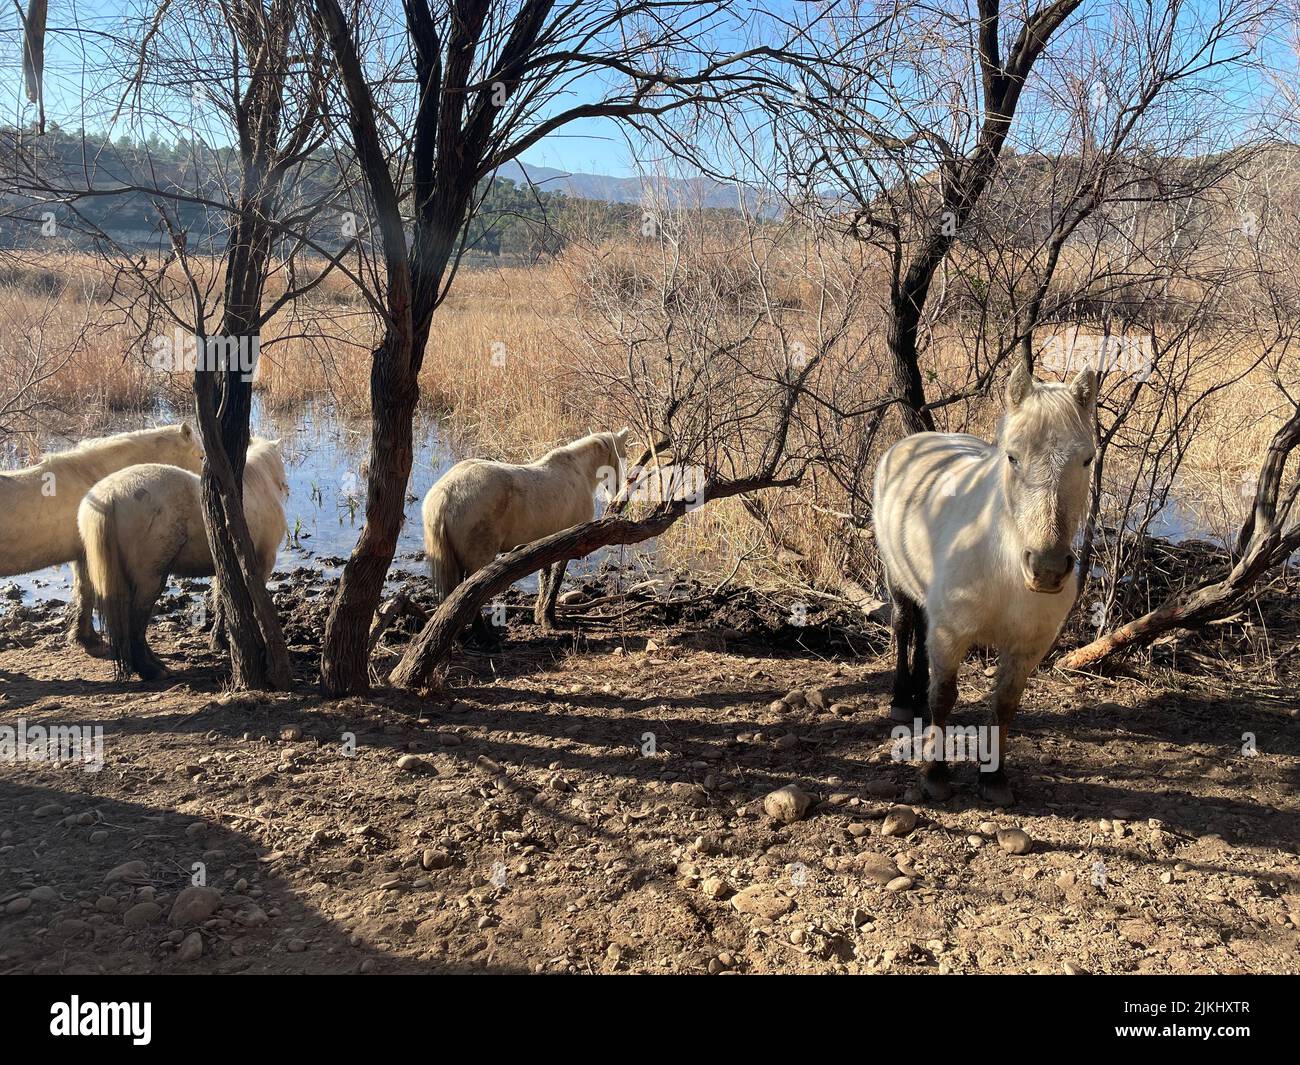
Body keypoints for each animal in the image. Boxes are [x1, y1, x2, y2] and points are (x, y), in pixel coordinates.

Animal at [79, 436, 288, 681]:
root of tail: (109, 495)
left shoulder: (223, 565)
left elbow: (222, 600)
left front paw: (218, 641)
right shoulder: (262, 563)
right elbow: (255, 605)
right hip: (150, 579)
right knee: (136, 621)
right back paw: (151, 670)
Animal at [423, 429, 631, 637]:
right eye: (623, 455)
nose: (618, 494)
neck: (579, 472)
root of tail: (446, 494)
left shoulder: (548, 544)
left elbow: (545, 578)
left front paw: (540, 616)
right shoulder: (569, 546)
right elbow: (555, 580)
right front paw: (549, 618)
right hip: (477, 558)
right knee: (469, 592)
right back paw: (483, 634)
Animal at [873, 361, 1097, 806]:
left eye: (1087, 459)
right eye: (1012, 457)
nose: (1047, 568)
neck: (1004, 569)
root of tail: (911, 442)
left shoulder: (1026, 647)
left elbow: (1004, 705)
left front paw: (994, 777)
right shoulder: (951, 635)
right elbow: (944, 698)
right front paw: (934, 774)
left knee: (920, 628)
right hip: (896, 577)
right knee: (905, 625)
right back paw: (903, 700)